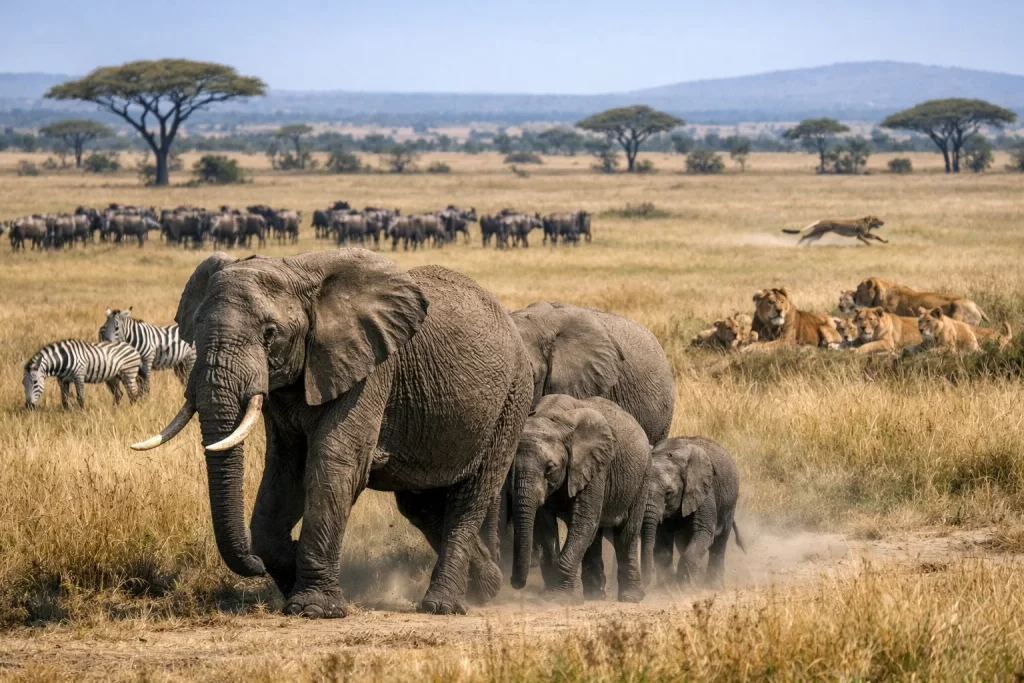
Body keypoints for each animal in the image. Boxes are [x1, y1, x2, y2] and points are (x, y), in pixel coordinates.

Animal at [132, 249, 533, 618]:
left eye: (270, 335)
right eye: (195, 328)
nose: (254, 567)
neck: (297, 273)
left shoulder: (370, 369)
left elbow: (335, 466)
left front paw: (313, 608)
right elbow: (285, 474)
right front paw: (290, 571)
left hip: (511, 400)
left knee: (470, 499)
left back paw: (444, 605)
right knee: (421, 504)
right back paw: (487, 586)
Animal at [509, 394, 650, 602]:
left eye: (549, 468)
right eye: (511, 468)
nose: (514, 582)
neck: (551, 417)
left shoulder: (596, 467)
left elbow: (583, 521)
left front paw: (561, 598)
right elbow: (545, 525)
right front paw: (551, 593)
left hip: (642, 476)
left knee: (626, 534)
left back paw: (630, 598)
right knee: (595, 535)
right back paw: (595, 595)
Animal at [641, 436, 745, 589]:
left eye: (669, 493)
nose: (646, 582)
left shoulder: (704, 489)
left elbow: (704, 531)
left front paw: (685, 586)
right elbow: (662, 537)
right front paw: (668, 587)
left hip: (730, 500)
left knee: (720, 541)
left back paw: (713, 585)